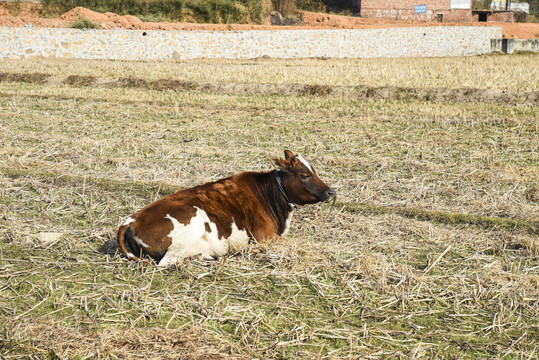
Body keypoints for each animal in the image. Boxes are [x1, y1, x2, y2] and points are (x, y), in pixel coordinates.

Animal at [118, 150, 336, 266]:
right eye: (304, 175)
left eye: (314, 170)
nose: (331, 191)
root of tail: (130, 220)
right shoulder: (265, 236)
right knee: (167, 262)